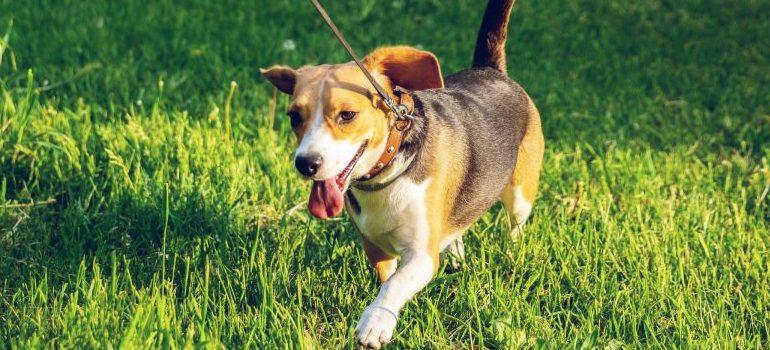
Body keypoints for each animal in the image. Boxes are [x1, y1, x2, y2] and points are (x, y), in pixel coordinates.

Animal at [258, 0, 540, 348]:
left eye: (347, 115)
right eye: (294, 116)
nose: (305, 163)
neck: (386, 172)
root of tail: (490, 70)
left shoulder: (421, 255)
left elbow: (395, 284)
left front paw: (375, 322)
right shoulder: (374, 245)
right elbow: (387, 278)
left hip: (520, 194)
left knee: (515, 225)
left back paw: (512, 252)